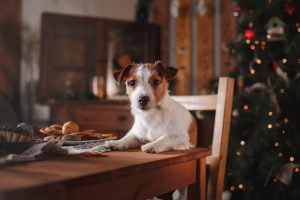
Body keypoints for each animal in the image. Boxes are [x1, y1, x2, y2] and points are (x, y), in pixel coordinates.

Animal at [105, 61, 197, 200]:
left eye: (156, 82)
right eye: (132, 82)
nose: (142, 99)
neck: (151, 115)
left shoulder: (182, 139)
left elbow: (165, 138)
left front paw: (152, 145)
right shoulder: (137, 135)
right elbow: (127, 138)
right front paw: (117, 143)